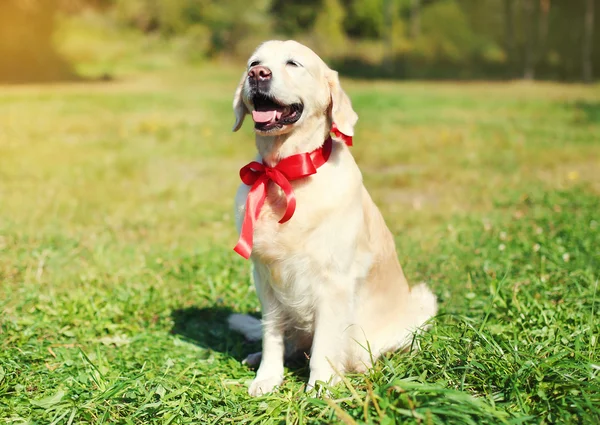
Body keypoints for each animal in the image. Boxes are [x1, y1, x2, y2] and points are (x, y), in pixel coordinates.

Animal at [229, 39, 436, 394]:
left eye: (293, 63)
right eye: (253, 63)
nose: (258, 74)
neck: (287, 170)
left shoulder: (333, 282)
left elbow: (324, 344)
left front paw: (320, 388)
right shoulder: (265, 278)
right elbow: (272, 335)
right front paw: (267, 378)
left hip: (420, 303)